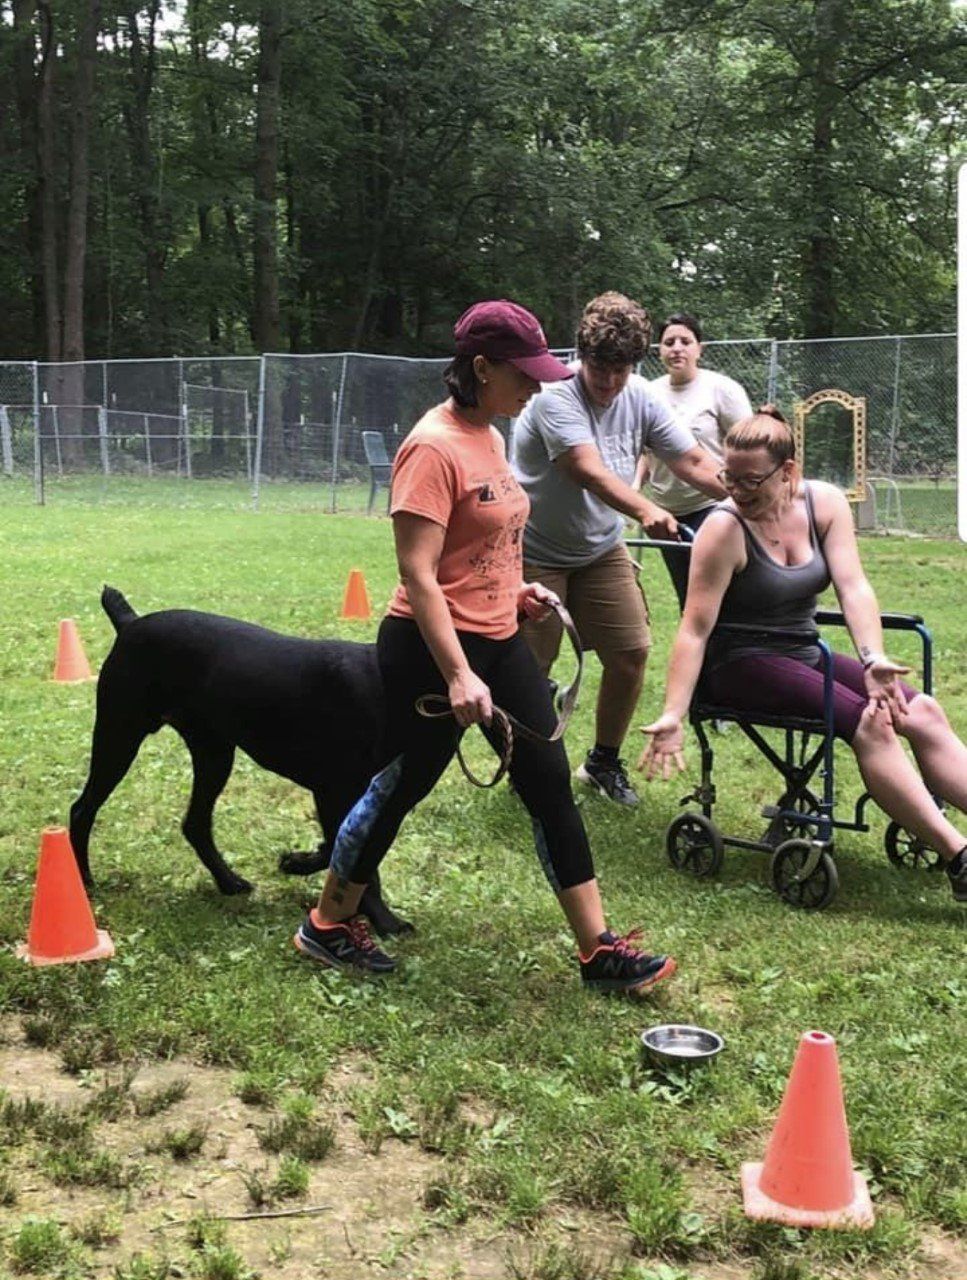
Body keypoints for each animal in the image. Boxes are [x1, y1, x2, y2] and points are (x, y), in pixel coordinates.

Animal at [69, 587, 412, 936]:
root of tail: (130, 624)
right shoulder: (335, 790)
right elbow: (352, 856)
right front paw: (382, 917)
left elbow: (343, 849)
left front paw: (299, 862)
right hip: (119, 738)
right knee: (82, 809)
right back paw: (84, 882)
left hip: (213, 754)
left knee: (195, 823)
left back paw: (228, 881)